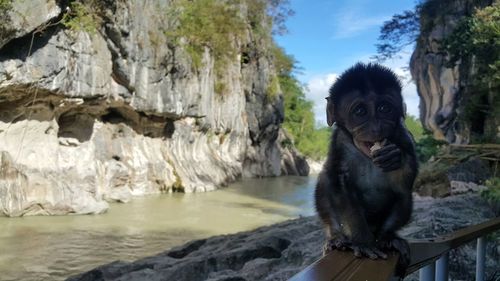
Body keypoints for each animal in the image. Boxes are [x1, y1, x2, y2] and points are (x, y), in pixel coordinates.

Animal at [316, 61, 418, 274]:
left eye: (384, 108)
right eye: (360, 112)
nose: (377, 128)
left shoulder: (403, 134)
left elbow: (404, 187)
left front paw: (395, 157)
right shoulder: (340, 143)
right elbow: (339, 185)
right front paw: (363, 243)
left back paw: (389, 237)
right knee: (324, 180)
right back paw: (337, 238)